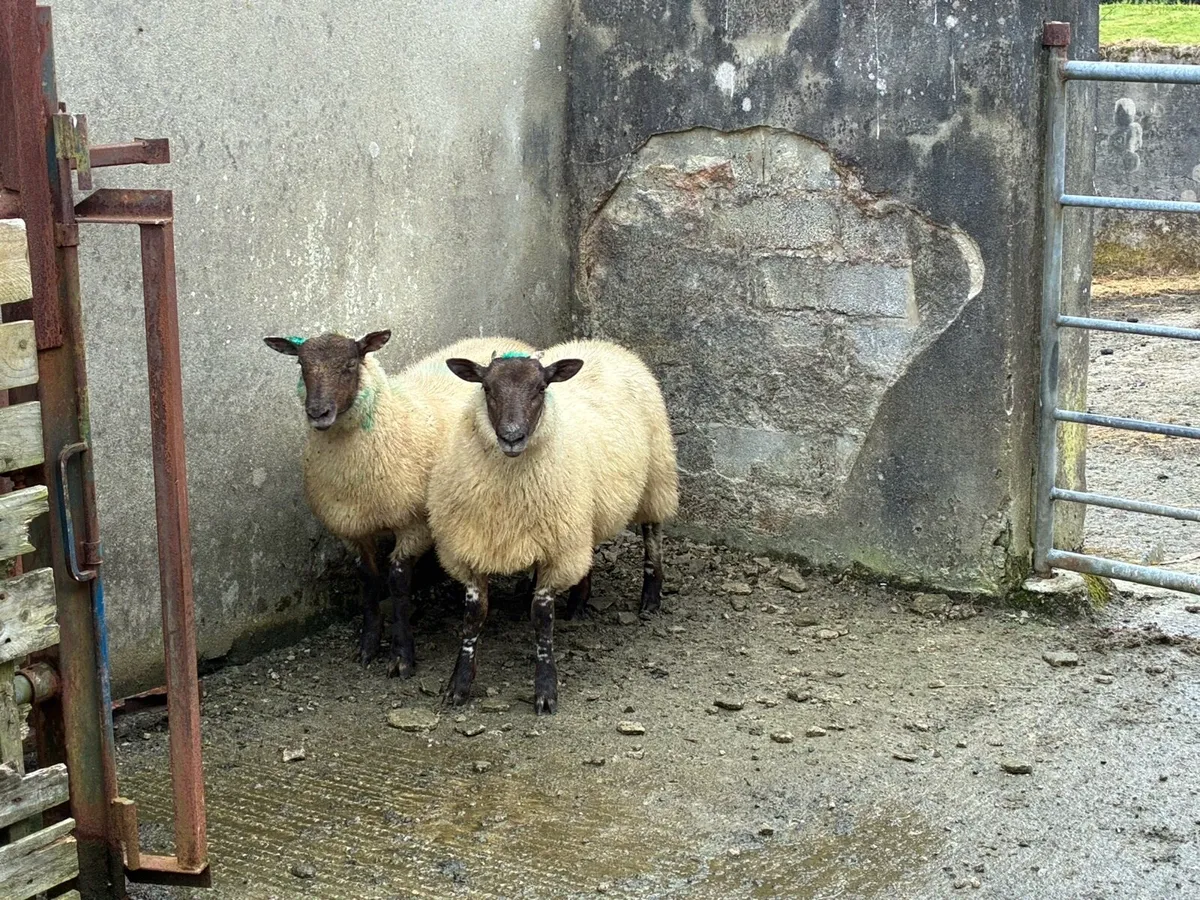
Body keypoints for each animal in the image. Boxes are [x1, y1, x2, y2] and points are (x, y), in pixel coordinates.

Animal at [264, 330, 533, 677]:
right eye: (301, 364)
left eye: (351, 364)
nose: (318, 413)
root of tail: (509, 340)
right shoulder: (351, 528)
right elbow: (368, 581)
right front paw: (368, 644)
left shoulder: (413, 524)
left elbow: (398, 583)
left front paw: (402, 654)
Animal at [427, 339, 679, 713]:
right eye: (486, 387)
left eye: (541, 388)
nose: (512, 436)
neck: (507, 488)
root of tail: (604, 344)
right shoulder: (470, 547)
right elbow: (473, 617)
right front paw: (458, 684)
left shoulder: (557, 550)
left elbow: (542, 619)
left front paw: (546, 690)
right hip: (583, 513)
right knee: (589, 550)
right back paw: (578, 604)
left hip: (656, 476)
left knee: (652, 532)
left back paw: (650, 597)